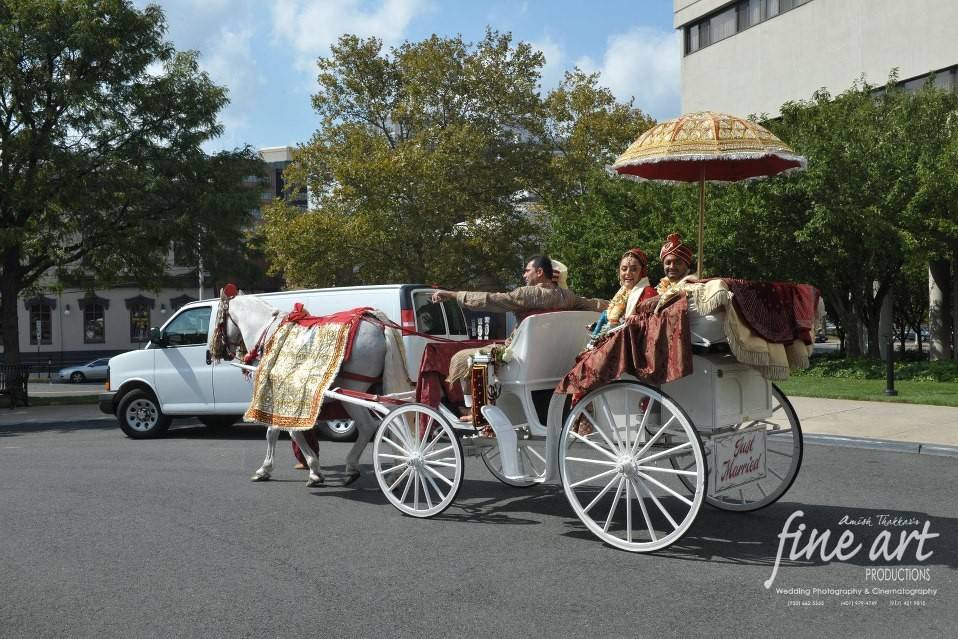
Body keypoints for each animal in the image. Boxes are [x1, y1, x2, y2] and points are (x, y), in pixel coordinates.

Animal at [211, 292, 390, 488]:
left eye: (219, 318)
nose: (215, 353)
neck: (268, 333)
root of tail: (378, 325)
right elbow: (286, 431)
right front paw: (309, 468)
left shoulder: (273, 393)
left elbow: (277, 432)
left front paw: (273, 469)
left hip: (352, 393)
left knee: (368, 426)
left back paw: (352, 467)